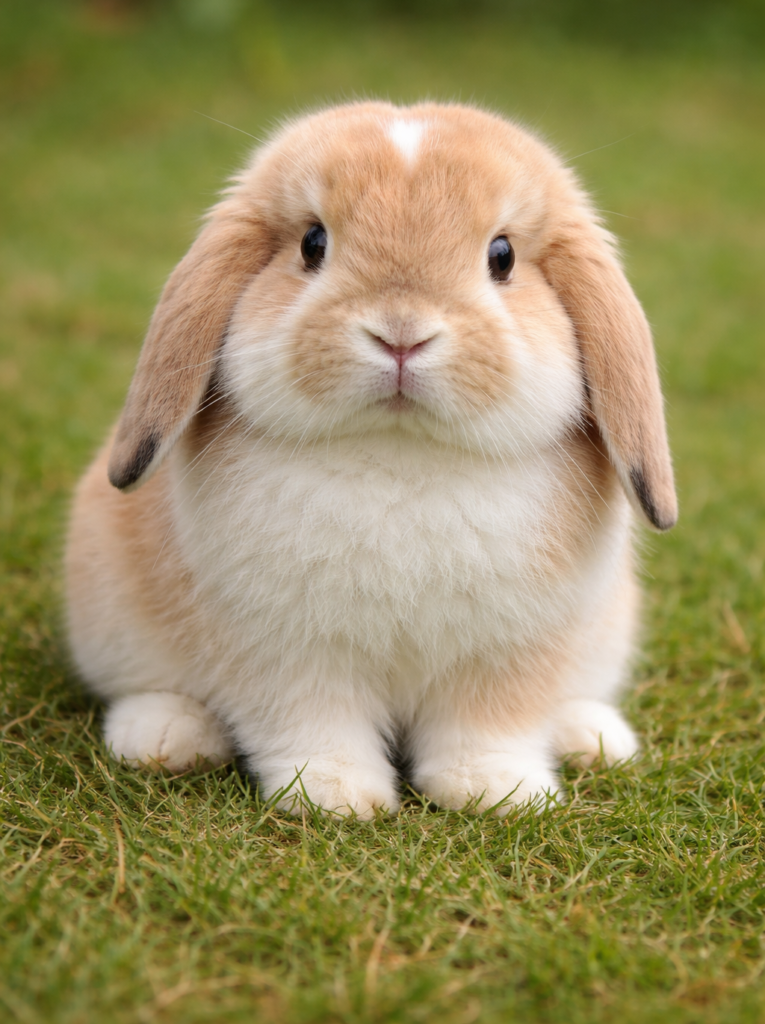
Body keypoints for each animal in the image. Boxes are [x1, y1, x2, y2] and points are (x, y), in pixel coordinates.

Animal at [65, 101, 676, 818]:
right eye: (313, 243)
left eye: (502, 256)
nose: (401, 333)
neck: (400, 457)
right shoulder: (286, 652)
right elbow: (312, 724)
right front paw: (335, 796)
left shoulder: (510, 655)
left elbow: (489, 726)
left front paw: (496, 793)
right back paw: (165, 737)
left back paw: (595, 738)